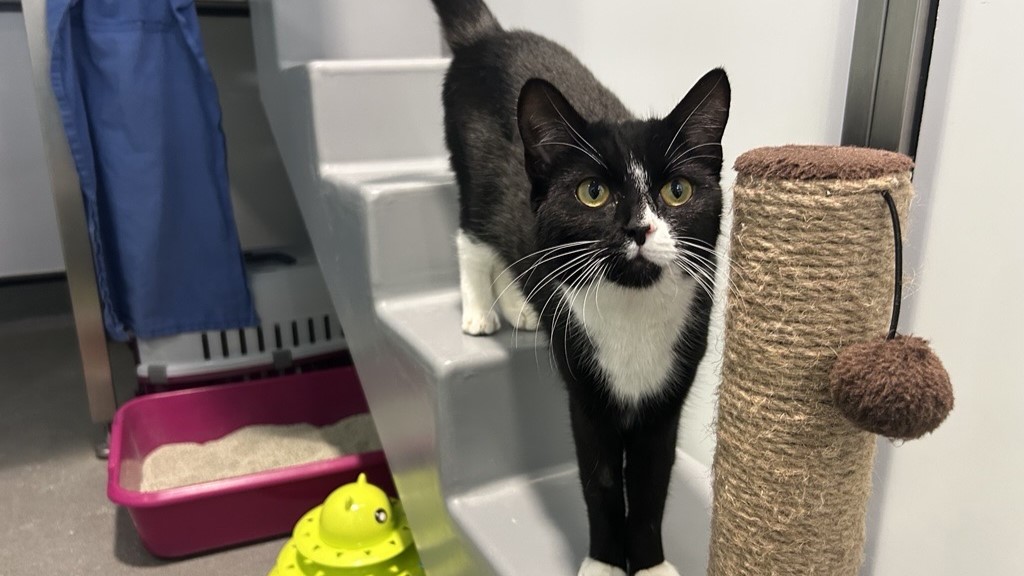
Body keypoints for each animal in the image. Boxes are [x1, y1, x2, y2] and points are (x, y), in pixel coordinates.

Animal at [430, 1, 730, 575]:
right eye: (593, 193)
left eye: (677, 191)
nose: (638, 229)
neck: (632, 312)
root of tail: (489, 36)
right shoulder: (585, 394)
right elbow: (602, 485)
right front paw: (605, 563)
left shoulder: (668, 397)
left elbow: (652, 485)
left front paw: (651, 563)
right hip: (474, 172)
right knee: (472, 237)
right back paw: (480, 313)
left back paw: (522, 308)